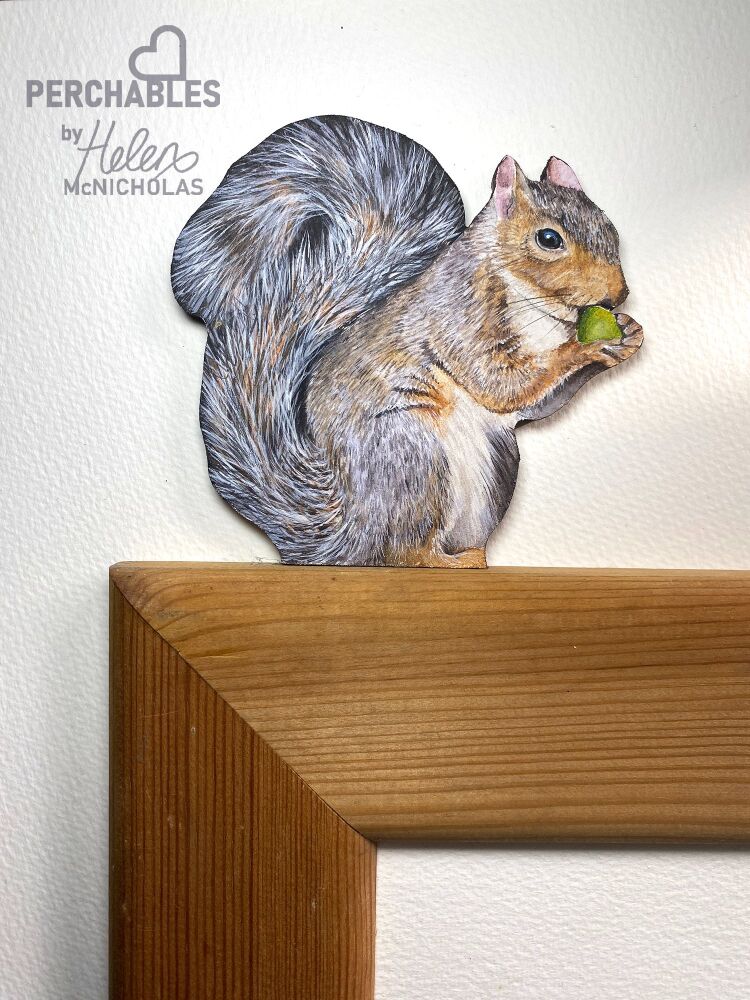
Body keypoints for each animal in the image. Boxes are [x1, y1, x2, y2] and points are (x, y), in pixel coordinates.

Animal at [171, 114, 643, 568]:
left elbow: (534, 405)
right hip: (410, 458)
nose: (618, 294)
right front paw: (584, 348)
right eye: (548, 239)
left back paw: (475, 556)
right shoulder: (457, 315)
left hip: (492, 464)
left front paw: (626, 335)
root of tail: (347, 537)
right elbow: (499, 384)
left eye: (610, 226)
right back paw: (450, 563)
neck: (542, 314)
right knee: (404, 552)